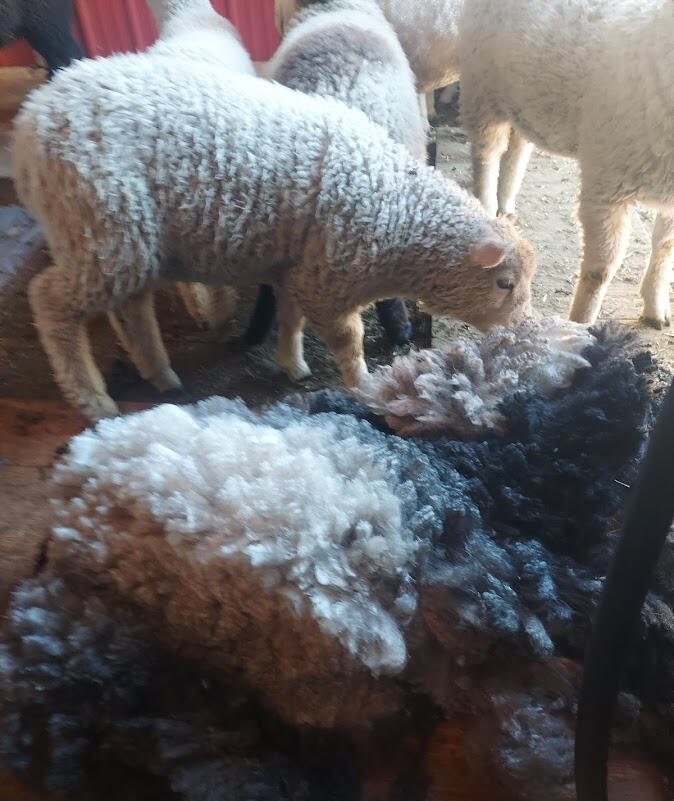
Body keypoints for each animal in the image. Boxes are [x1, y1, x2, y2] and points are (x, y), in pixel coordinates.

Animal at [13, 42, 536, 421]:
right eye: (505, 283)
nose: (520, 331)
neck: (396, 209)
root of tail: (32, 118)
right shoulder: (328, 279)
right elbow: (346, 340)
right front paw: (362, 384)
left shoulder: (298, 267)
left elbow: (290, 318)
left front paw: (291, 363)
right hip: (102, 229)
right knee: (51, 303)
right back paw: (91, 397)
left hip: (130, 242)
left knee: (132, 309)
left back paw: (160, 373)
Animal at [458, 0, 674, 329]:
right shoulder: (605, 188)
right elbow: (600, 272)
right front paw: (582, 325)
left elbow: (664, 248)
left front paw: (655, 308)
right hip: (482, 84)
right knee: (487, 153)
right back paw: (488, 206)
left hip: (521, 95)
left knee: (517, 147)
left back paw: (506, 203)